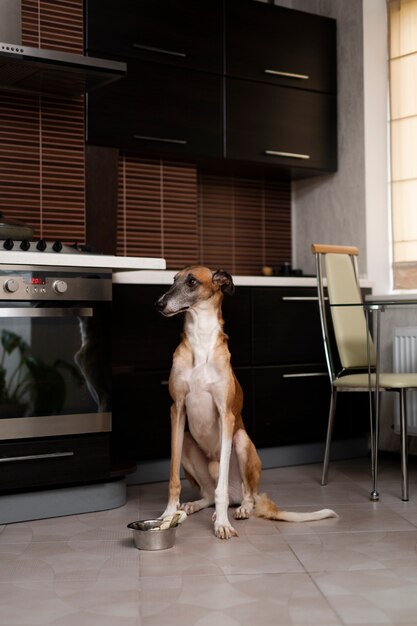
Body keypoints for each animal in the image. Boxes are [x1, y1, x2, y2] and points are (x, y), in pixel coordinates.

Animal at [154, 264, 336, 536]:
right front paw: (167, 515)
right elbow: (173, 478)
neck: (200, 340)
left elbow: (220, 490)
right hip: (186, 441)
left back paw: (241, 509)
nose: (159, 304)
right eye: (173, 280)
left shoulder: (226, 414)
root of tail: (237, 494)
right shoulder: (177, 410)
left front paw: (222, 523)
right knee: (210, 493)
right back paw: (195, 505)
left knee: (240, 494)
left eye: (192, 281)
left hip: (241, 442)